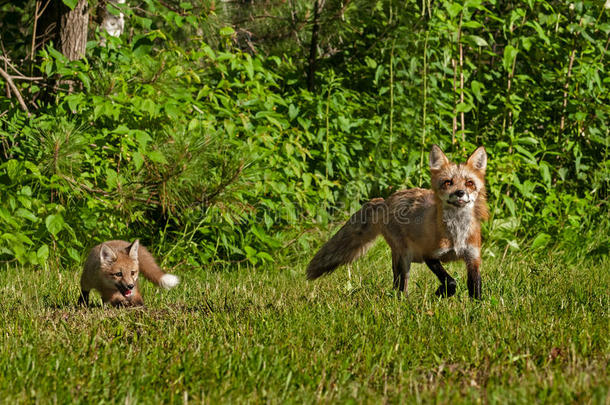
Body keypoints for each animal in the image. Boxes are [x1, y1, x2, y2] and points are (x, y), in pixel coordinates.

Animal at [306, 147, 486, 298]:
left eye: (469, 183)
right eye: (448, 182)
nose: (460, 192)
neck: (457, 235)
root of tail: (385, 200)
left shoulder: (473, 258)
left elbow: (475, 288)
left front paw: (474, 309)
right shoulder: (429, 255)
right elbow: (451, 281)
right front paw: (442, 291)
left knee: (397, 286)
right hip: (404, 256)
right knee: (399, 286)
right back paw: (403, 302)